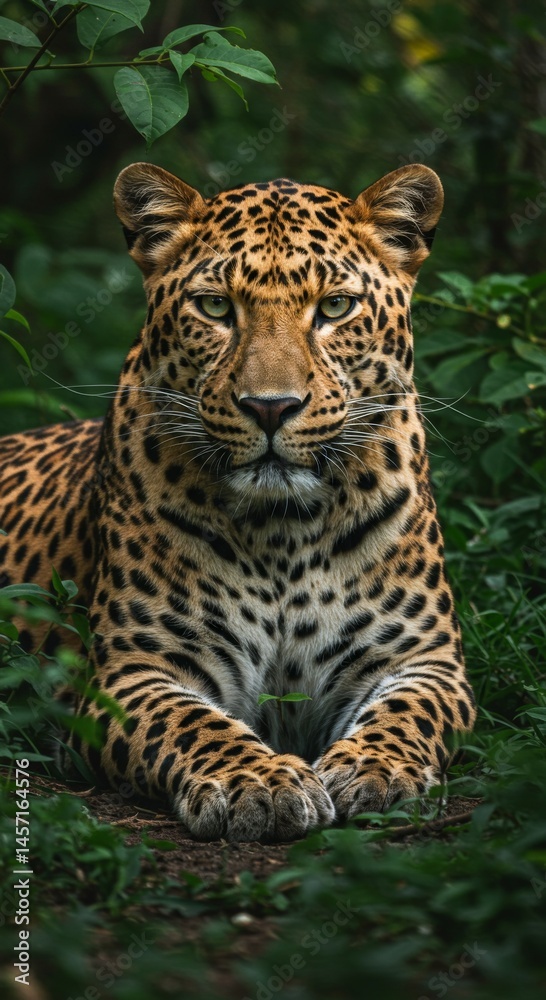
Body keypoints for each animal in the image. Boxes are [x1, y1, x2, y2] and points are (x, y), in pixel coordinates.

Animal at [0, 161, 476, 842]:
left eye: (335, 307)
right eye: (216, 306)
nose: (270, 407)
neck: (283, 530)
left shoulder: (422, 660)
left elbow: (408, 713)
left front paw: (375, 769)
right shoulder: (133, 670)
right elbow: (192, 724)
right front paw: (259, 781)